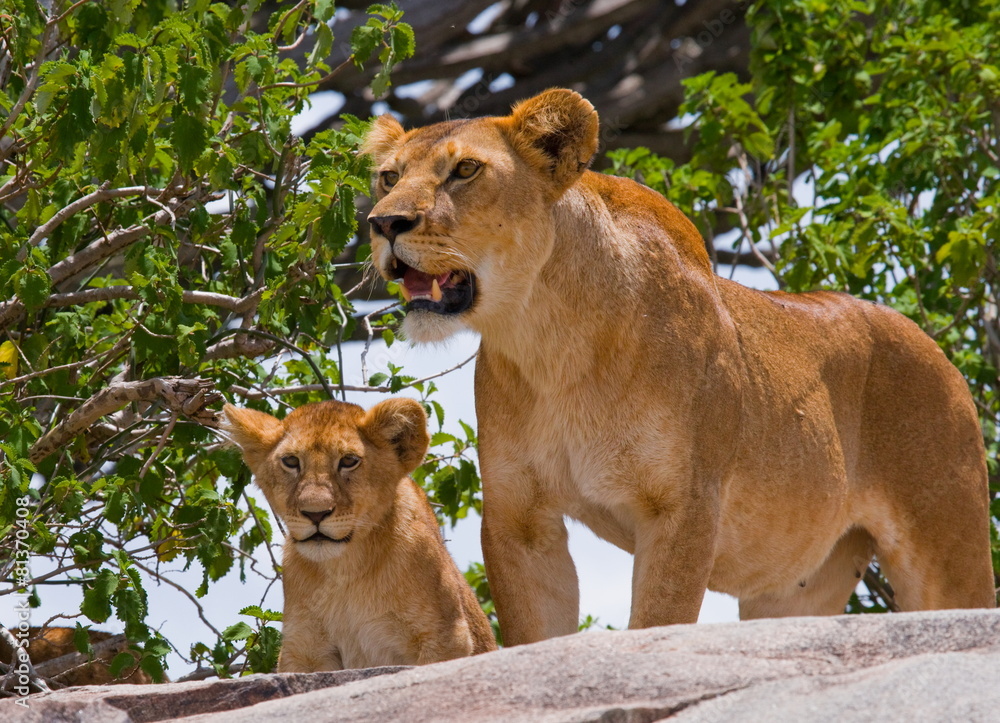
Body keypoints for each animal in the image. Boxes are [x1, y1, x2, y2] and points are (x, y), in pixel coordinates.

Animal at [223, 399, 497, 670]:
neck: (344, 570)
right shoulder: (304, 648)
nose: (315, 513)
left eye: (349, 461)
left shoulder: (444, 637)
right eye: (290, 461)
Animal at [361, 88, 996, 646]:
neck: (548, 340)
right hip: (797, 581)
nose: (384, 223)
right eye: (389, 177)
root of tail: (938, 351)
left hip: (948, 542)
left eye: (465, 170)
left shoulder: (683, 508)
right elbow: (535, 636)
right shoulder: (520, 517)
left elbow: (656, 623)